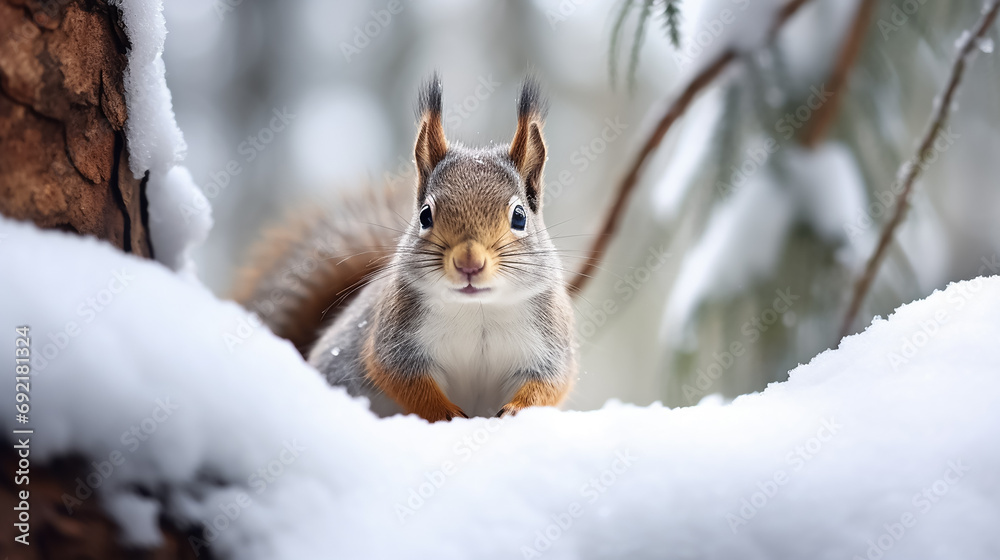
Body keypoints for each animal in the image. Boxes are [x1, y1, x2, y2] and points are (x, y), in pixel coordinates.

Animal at [233, 74, 577, 422]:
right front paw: (446, 413)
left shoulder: (550, 346)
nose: (469, 263)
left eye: (519, 217)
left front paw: (518, 409)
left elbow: (548, 384)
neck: (477, 309)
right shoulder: (394, 340)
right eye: (425, 215)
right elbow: (404, 381)